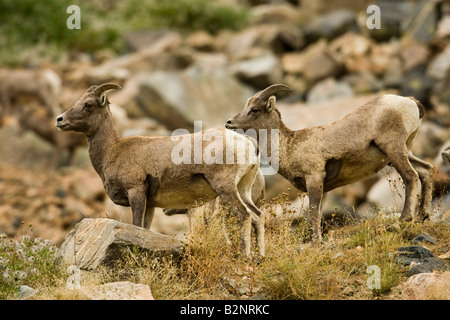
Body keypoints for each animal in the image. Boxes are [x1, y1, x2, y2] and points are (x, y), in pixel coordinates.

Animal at [56, 83, 268, 258]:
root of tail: (247, 142)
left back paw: (245, 255)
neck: (113, 151)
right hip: (243, 189)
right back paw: (260, 256)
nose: (60, 120)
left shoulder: (136, 193)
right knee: (257, 216)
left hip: (226, 188)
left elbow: (136, 225)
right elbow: (145, 229)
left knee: (245, 215)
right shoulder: (150, 205)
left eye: (88, 105)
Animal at [227, 84, 434, 241]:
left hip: (394, 149)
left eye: (254, 110)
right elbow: (318, 214)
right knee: (426, 170)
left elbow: (313, 213)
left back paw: (404, 220)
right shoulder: (322, 188)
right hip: (405, 152)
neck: (290, 146)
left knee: (411, 176)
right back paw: (423, 216)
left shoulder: (314, 179)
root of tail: (411, 102)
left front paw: (316, 241)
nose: (229, 122)